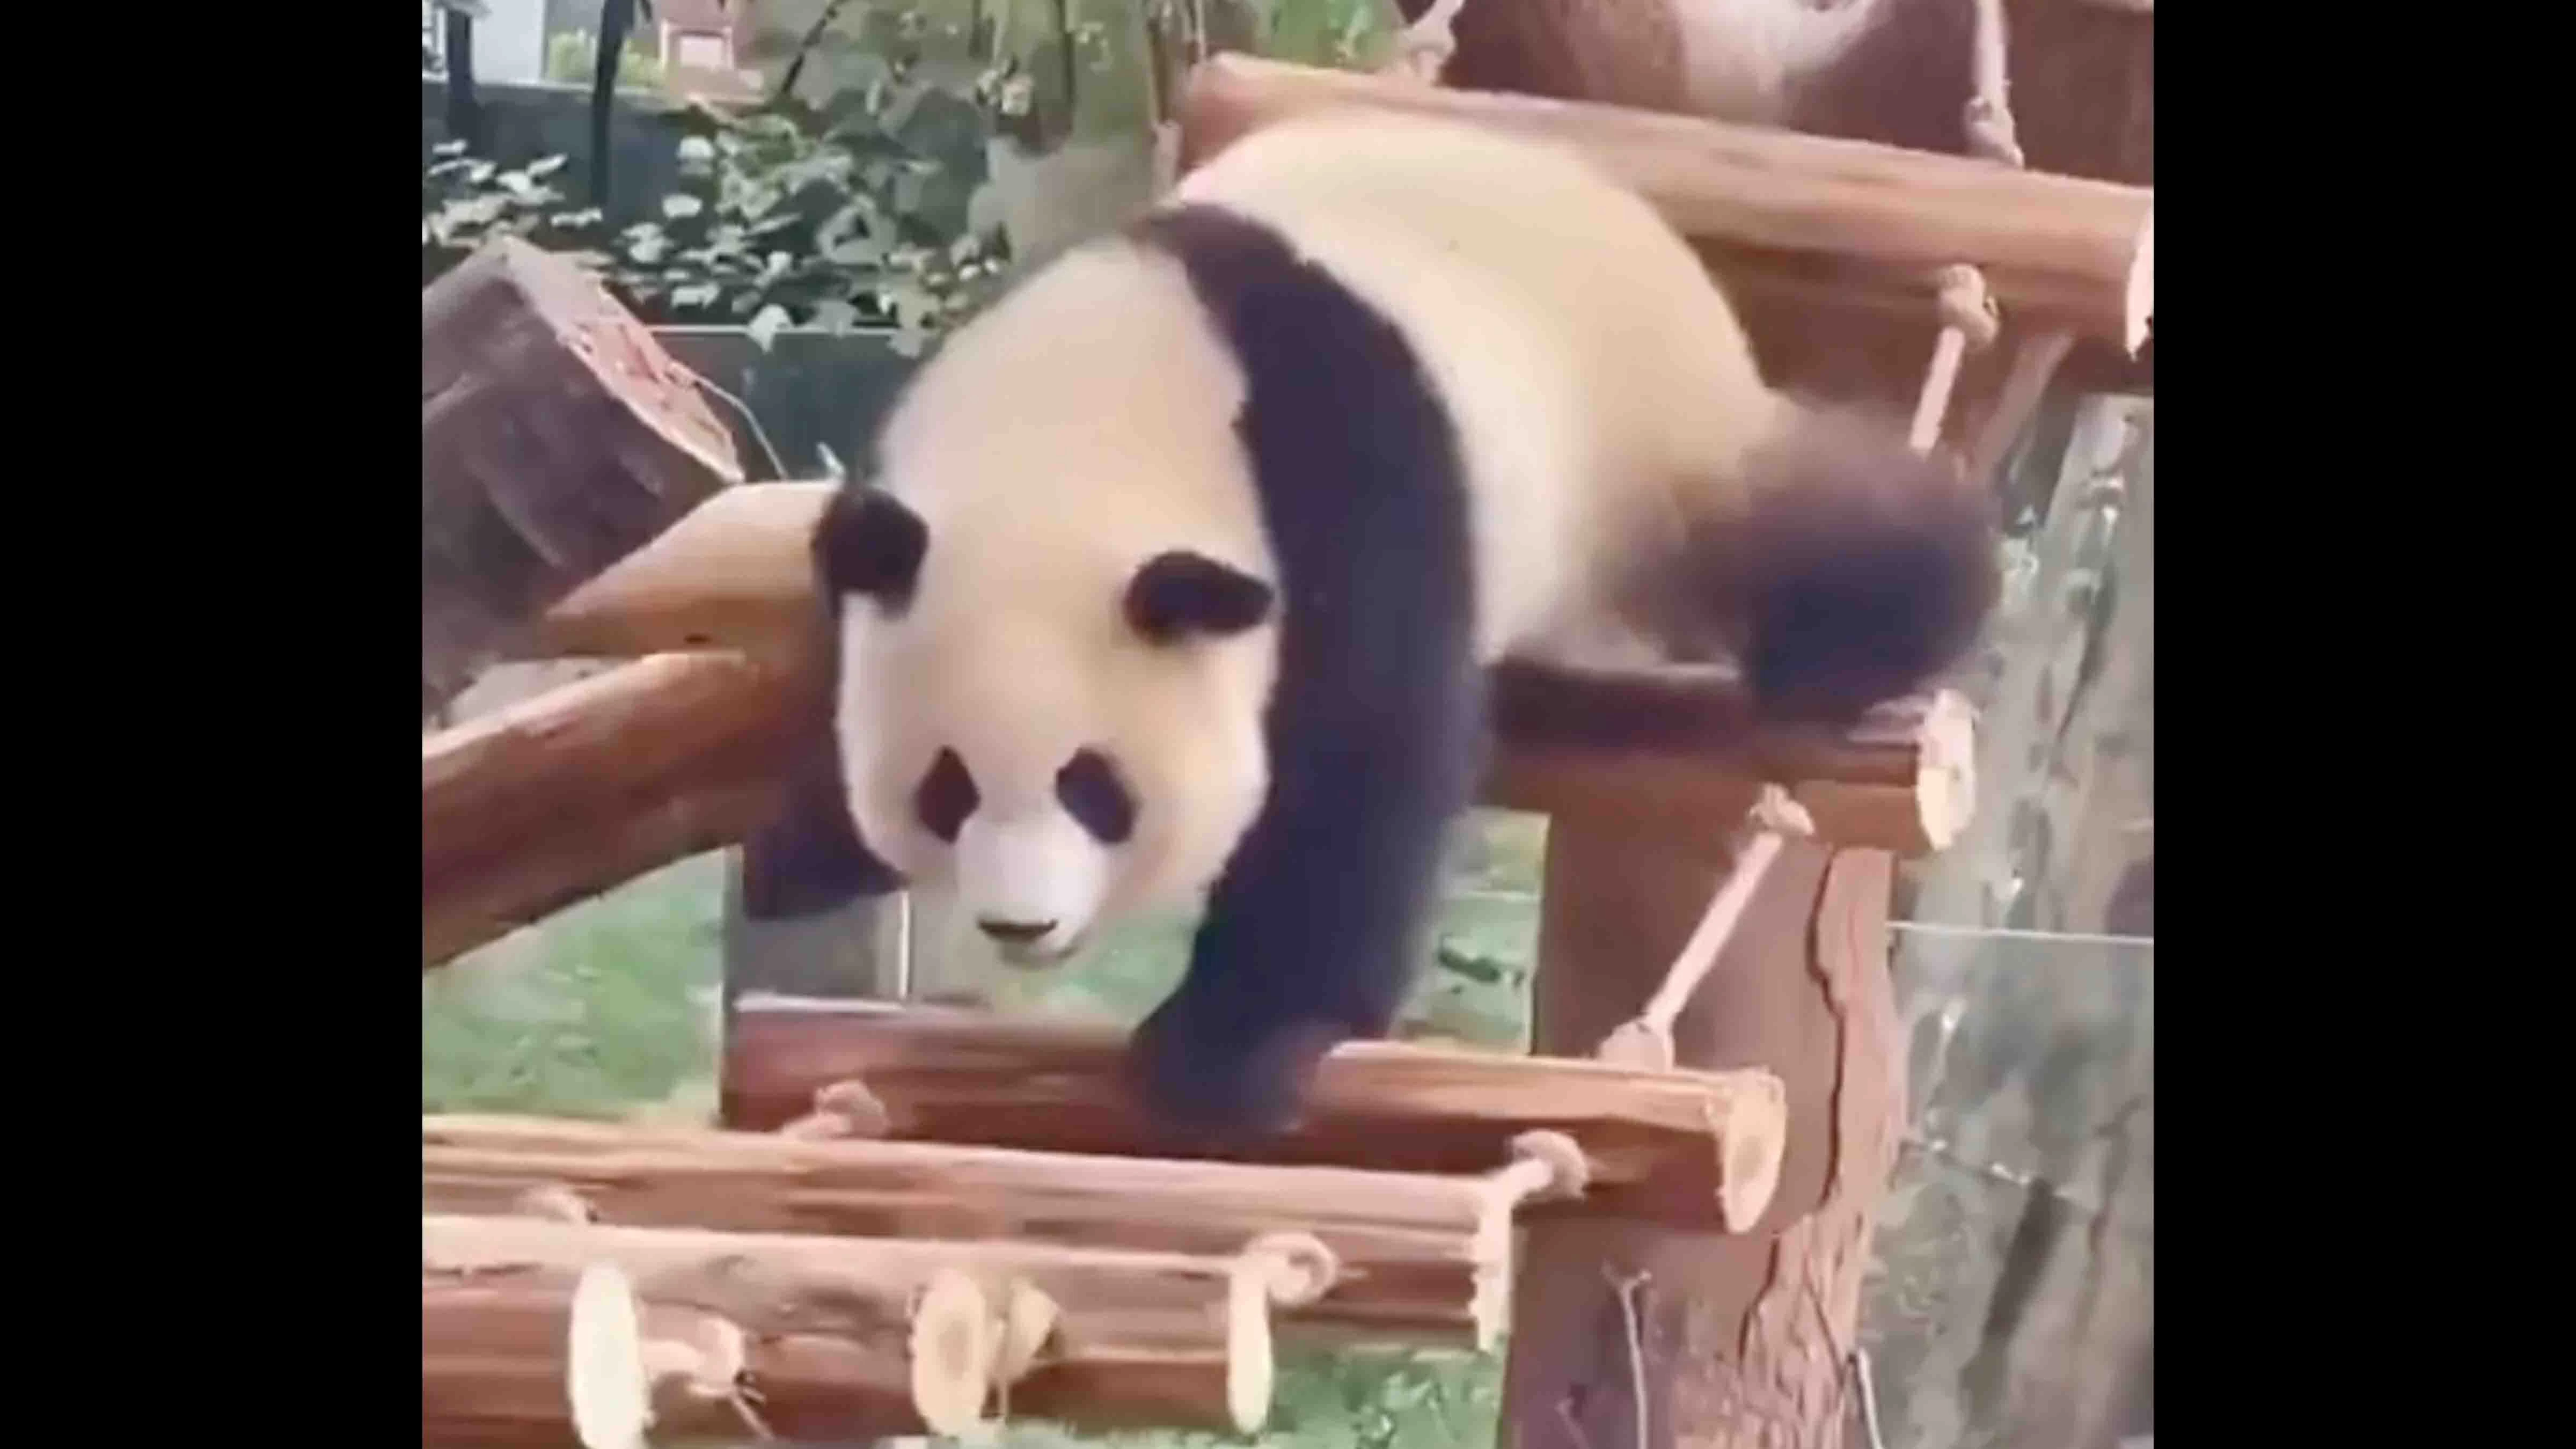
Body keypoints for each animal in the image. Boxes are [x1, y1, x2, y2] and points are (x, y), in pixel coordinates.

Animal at [787, 109, 1997, 1137]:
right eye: (945, 788)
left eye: (1097, 787)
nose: (1019, 926)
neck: (1087, 418)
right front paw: (815, 851)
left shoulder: (1345, 484)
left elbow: (1361, 757)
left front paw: (1231, 1048)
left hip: (1641, 448)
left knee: (1814, 544)